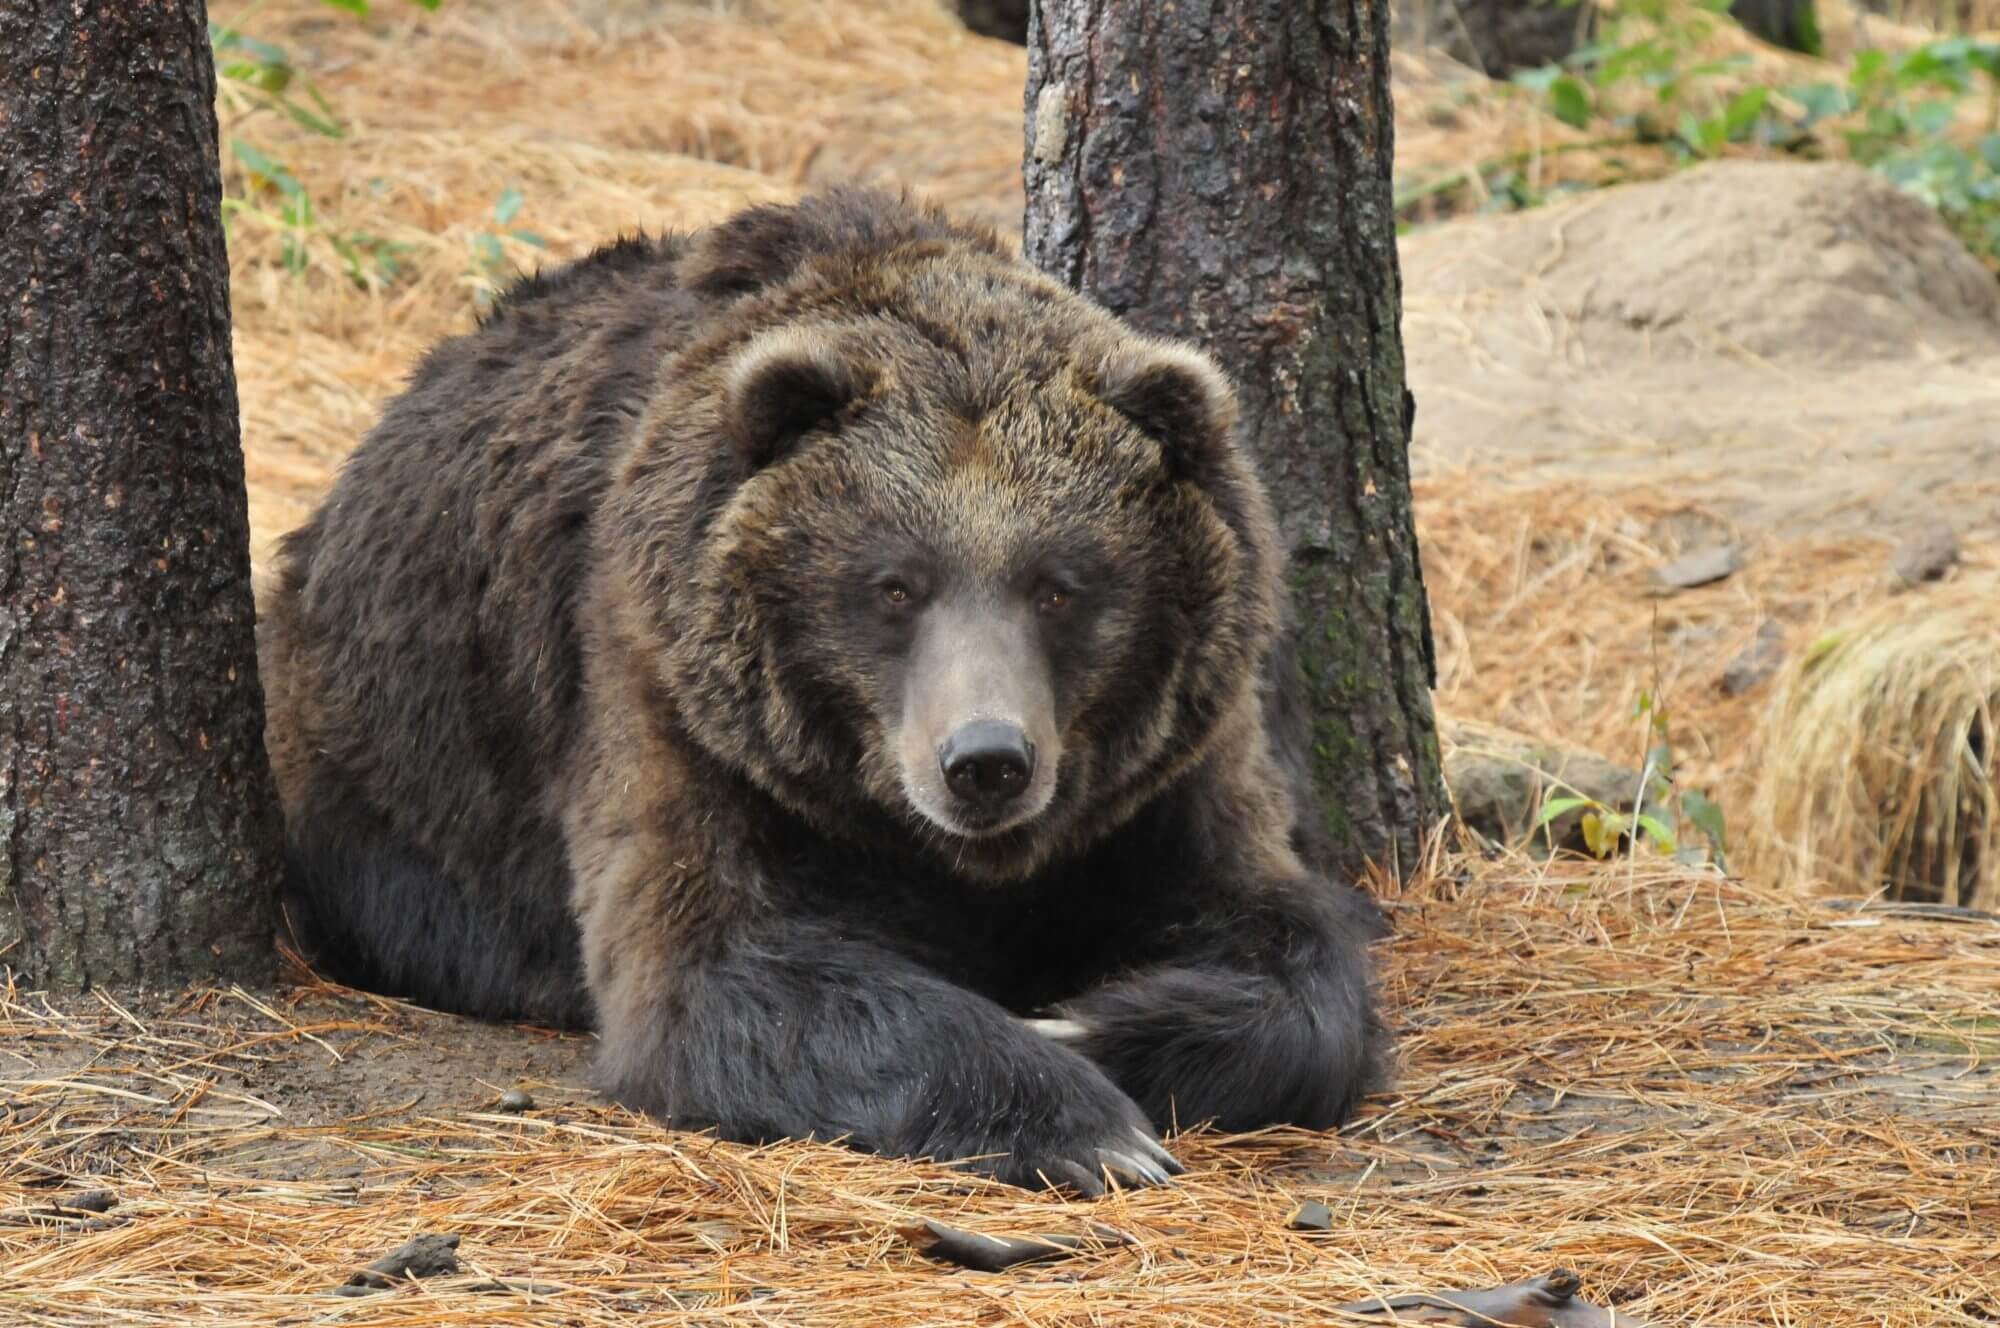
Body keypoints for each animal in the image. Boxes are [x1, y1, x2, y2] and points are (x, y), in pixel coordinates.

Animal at [262, 187, 1392, 1192]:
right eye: (894, 584)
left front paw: (1091, 1021)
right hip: (385, 779)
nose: (985, 761)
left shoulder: (1162, 777)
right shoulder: (673, 703)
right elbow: (717, 964)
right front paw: (1081, 1122)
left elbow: (1282, 945)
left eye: (1060, 585)